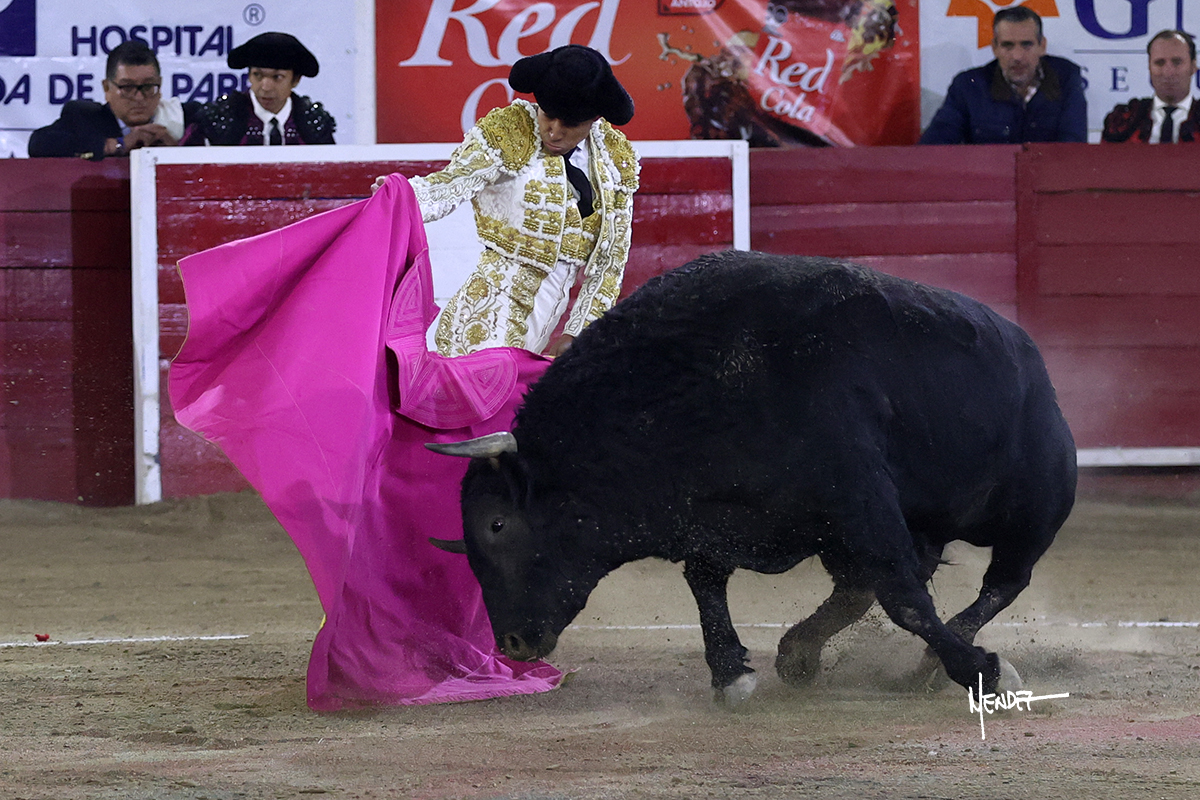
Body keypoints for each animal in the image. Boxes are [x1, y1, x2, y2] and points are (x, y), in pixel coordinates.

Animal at [428, 252, 1077, 705]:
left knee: (1002, 580)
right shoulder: (715, 516)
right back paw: (804, 653)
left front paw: (982, 670)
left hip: (1033, 510)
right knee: (860, 587)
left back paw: (937, 662)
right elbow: (707, 584)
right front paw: (731, 673)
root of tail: (1028, 350)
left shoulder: (859, 499)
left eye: (496, 524)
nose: (512, 644)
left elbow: (905, 599)